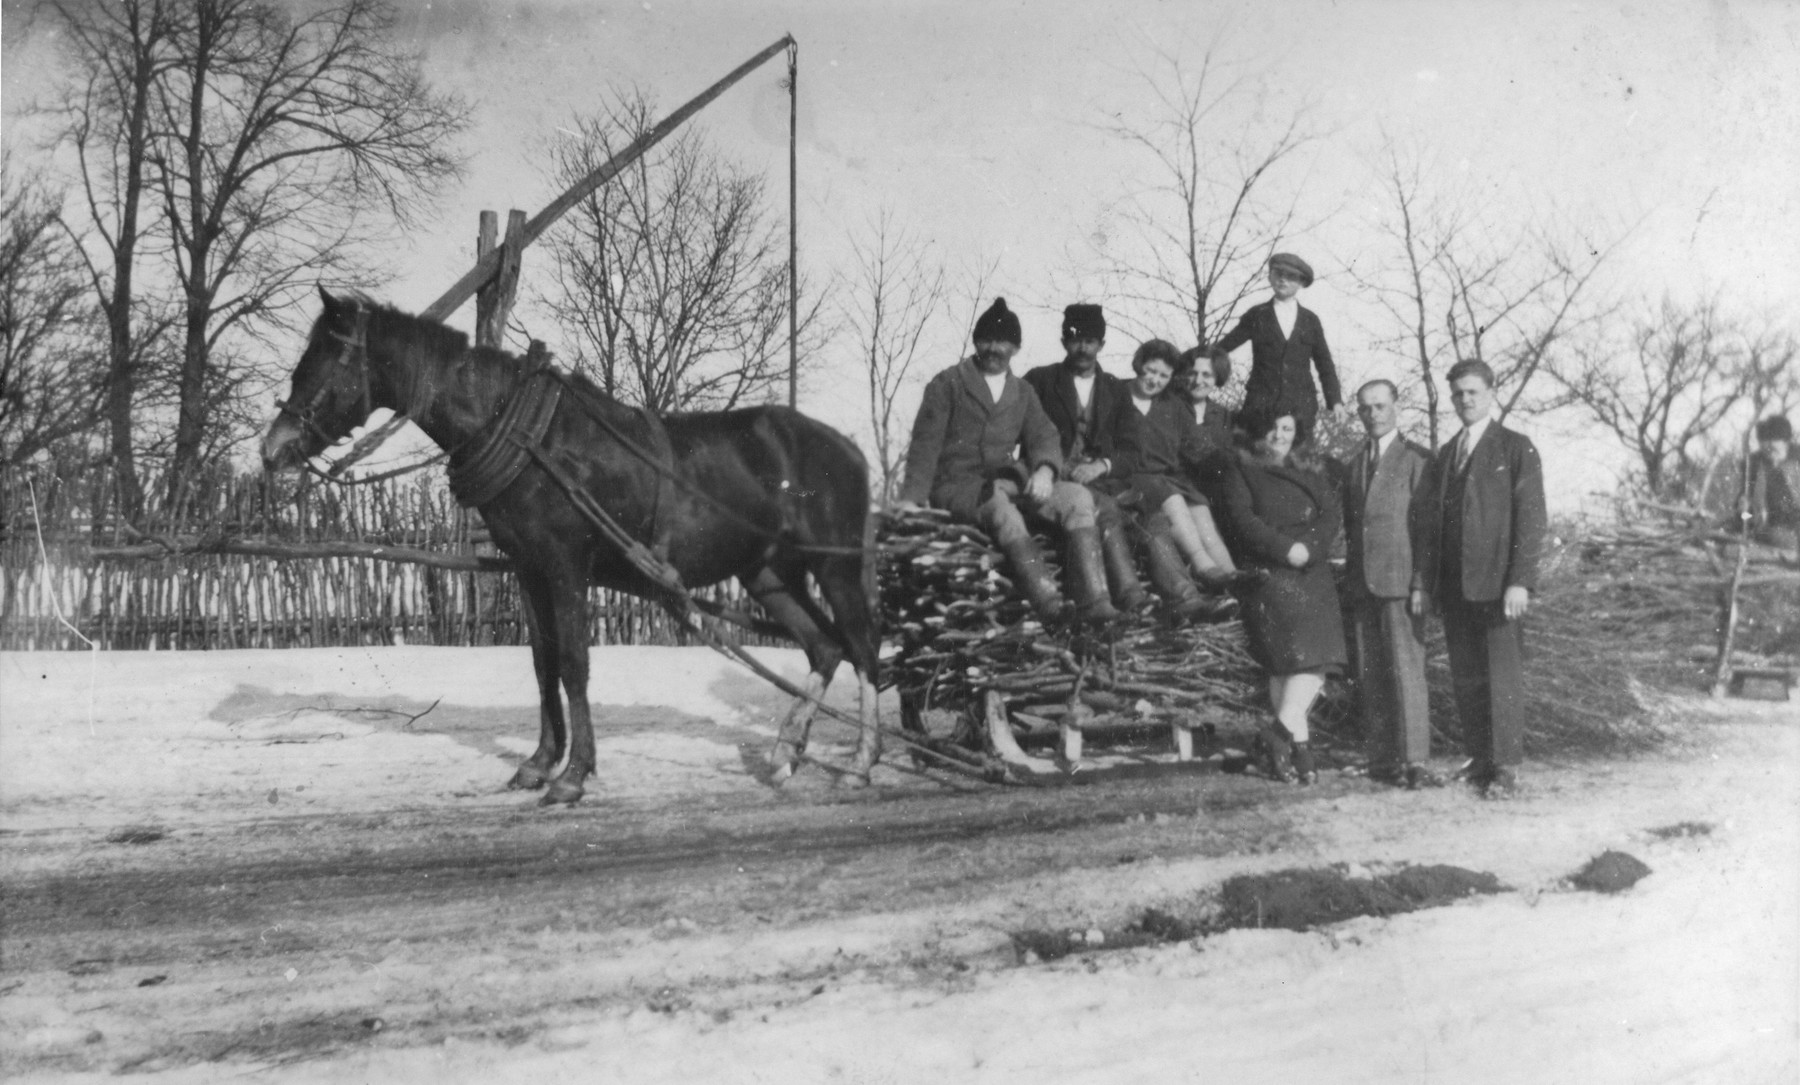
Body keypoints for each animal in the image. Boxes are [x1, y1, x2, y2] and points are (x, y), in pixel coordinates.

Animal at [262, 287, 882, 806]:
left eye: (326, 362)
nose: (273, 449)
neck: (525, 436)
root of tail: (848, 447)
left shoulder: (566, 567)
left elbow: (574, 663)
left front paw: (574, 774)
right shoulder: (528, 568)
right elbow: (543, 664)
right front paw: (539, 762)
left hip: (836, 568)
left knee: (863, 648)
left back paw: (860, 763)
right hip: (768, 575)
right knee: (825, 649)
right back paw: (784, 754)